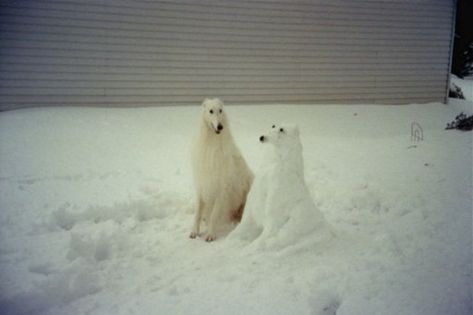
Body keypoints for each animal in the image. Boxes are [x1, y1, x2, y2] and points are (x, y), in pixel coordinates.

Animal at [189, 98, 253, 242]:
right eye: (211, 111)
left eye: (220, 110)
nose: (220, 127)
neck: (212, 144)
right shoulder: (202, 184)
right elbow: (197, 213)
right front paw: (194, 231)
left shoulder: (222, 189)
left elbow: (214, 216)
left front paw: (210, 235)